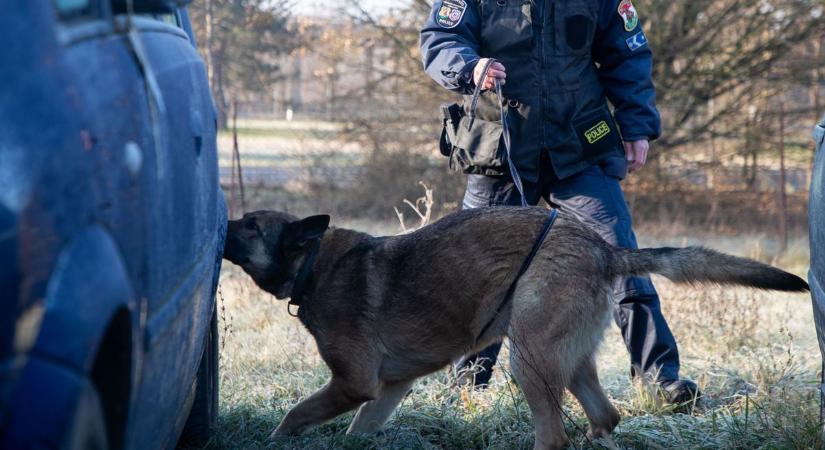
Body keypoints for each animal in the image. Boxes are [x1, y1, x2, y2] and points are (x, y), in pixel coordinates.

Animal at [222, 207, 808, 450]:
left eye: (249, 226)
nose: (218, 215)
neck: (312, 263)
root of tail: (603, 248)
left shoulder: (353, 384)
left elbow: (295, 415)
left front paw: (273, 441)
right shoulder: (388, 388)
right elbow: (358, 429)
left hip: (527, 359)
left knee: (553, 436)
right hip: (566, 361)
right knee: (605, 416)